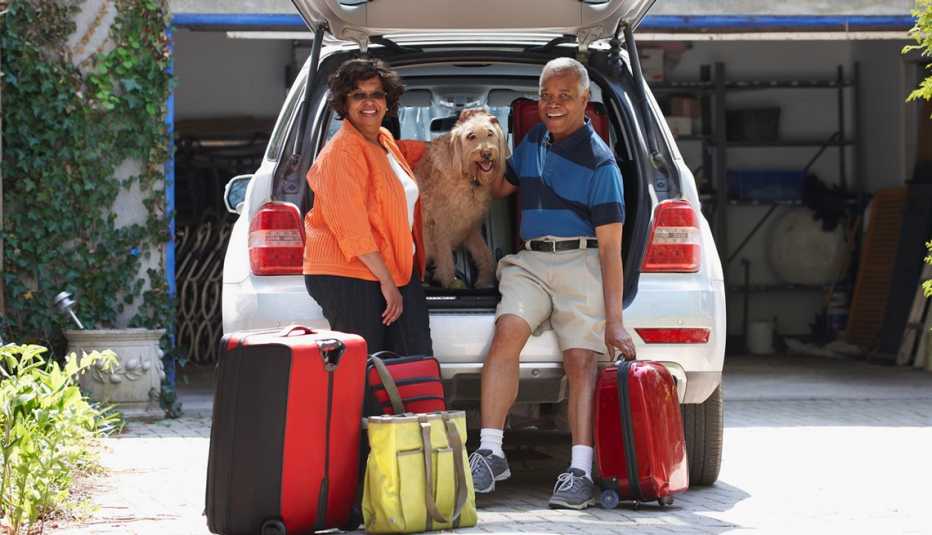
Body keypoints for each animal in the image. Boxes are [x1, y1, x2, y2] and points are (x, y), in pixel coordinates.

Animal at [414, 110, 506, 288]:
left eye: (490, 133)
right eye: (471, 136)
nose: (486, 153)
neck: (469, 179)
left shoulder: (470, 227)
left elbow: (484, 255)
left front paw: (485, 279)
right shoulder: (441, 228)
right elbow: (445, 261)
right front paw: (448, 282)